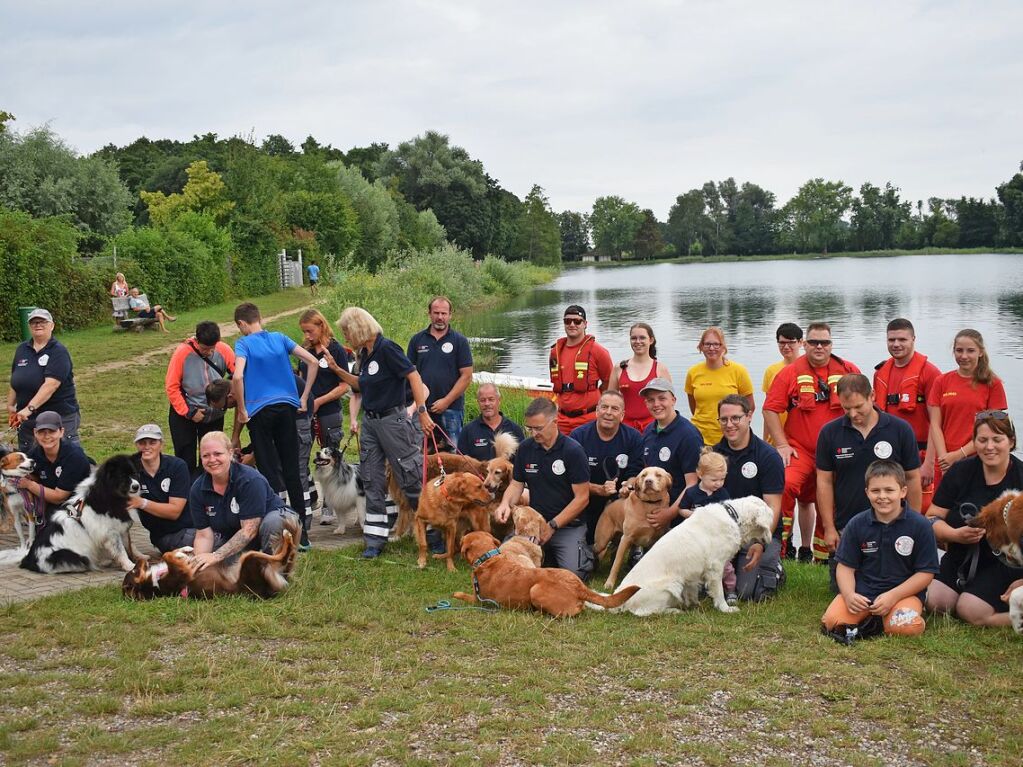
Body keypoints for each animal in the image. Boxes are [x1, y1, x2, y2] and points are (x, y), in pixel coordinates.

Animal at [122, 519, 298, 605]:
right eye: (133, 571)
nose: (139, 559)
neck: (154, 583)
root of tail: (267, 592)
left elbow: (168, 553)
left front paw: (184, 550)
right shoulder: (182, 574)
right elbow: (166, 555)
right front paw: (181, 554)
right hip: (250, 559)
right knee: (283, 557)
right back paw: (288, 536)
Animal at [456, 531, 638, 621]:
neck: (488, 558)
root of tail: (579, 587)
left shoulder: (478, 599)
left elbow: (463, 596)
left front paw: (456, 594)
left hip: (535, 590)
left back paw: (537, 613)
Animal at [609, 499, 769, 617]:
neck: (733, 516)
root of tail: (619, 597)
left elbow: (692, 591)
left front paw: (695, 604)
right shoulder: (716, 567)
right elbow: (719, 592)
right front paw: (725, 608)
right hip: (672, 584)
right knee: (644, 612)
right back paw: (673, 610)